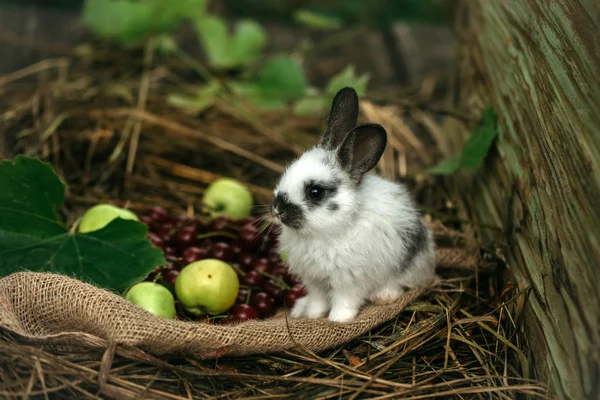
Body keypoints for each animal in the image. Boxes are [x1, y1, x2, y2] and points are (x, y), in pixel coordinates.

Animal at [270, 86, 436, 322]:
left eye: (315, 192)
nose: (277, 210)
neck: (324, 233)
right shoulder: (315, 281)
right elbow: (318, 299)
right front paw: (313, 315)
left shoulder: (349, 280)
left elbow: (344, 300)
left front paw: (338, 319)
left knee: (399, 283)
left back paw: (383, 296)